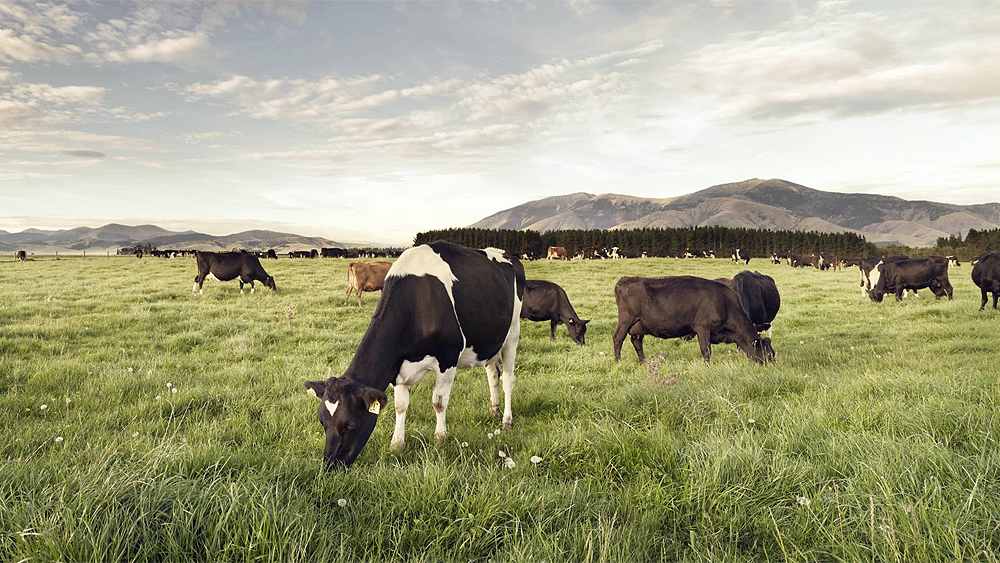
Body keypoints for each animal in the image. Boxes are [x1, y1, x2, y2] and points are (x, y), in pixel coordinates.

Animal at [302, 242, 524, 472]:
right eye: (322, 422)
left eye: (350, 425)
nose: (329, 466)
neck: (417, 299)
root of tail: (507, 254)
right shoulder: (398, 366)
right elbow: (400, 406)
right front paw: (396, 444)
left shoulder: (448, 357)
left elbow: (439, 402)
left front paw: (439, 438)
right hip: (490, 340)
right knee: (493, 374)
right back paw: (494, 409)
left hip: (512, 332)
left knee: (508, 379)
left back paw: (507, 421)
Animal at [608, 278, 772, 366]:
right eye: (768, 354)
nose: (773, 366)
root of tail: (624, 280)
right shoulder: (702, 326)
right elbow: (706, 350)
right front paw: (707, 366)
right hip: (626, 319)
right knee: (618, 338)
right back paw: (617, 361)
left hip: (639, 325)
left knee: (637, 341)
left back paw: (644, 362)